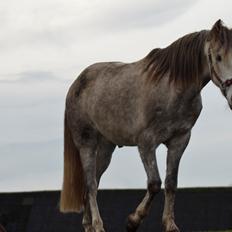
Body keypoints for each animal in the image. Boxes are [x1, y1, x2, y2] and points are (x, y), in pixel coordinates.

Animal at [60, 20, 232, 232]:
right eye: (218, 57)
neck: (171, 87)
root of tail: (75, 85)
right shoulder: (146, 143)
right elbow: (155, 183)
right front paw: (133, 221)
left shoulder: (180, 140)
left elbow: (171, 183)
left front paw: (170, 224)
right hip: (87, 144)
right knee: (91, 184)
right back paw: (98, 225)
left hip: (106, 149)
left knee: (92, 182)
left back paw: (88, 225)